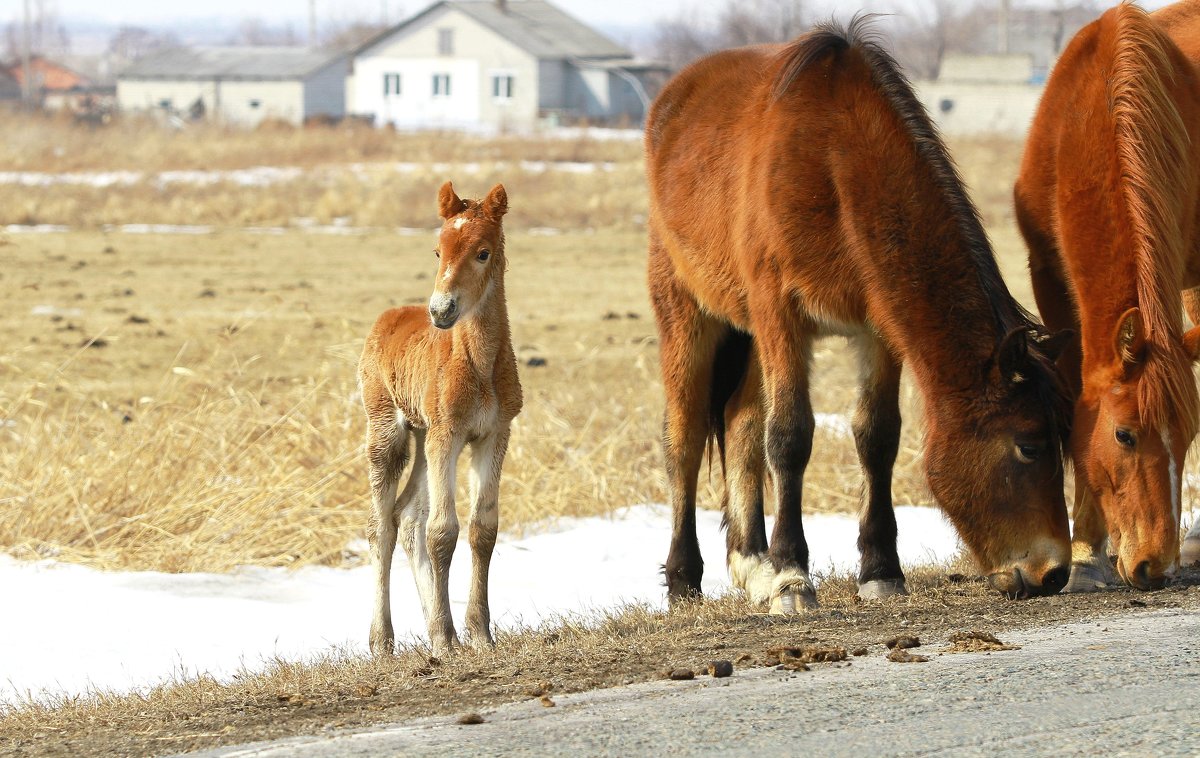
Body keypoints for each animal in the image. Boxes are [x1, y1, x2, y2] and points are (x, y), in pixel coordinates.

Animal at [357, 181, 523, 652]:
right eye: (437, 251)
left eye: (483, 252)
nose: (441, 310)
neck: (478, 365)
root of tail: (387, 317)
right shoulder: (447, 434)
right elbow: (443, 531)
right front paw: (449, 640)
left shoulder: (493, 434)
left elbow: (482, 528)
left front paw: (478, 634)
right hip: (388, 431)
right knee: (382, 527)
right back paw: (382, 641)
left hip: (421, 435)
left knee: (408, 517)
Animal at [652, 17, 1075, 609]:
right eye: (1029, 446)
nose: (1053, 573)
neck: (836, 162)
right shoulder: (781, 315)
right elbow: (789, 437)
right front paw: (792, 575)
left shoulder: (877, 329)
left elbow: (877, 437)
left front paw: (880, 570)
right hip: (688, 312)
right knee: (686, 439)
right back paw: (686, 577)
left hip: (751, 334)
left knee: (739, 423)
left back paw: (751, 563)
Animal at [1017, 0, 1200, 592]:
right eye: (1124, 435)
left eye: (1189, 436)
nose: (1154, 567)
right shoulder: (1049, 277)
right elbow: (1077, 393)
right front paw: (1086, 553)